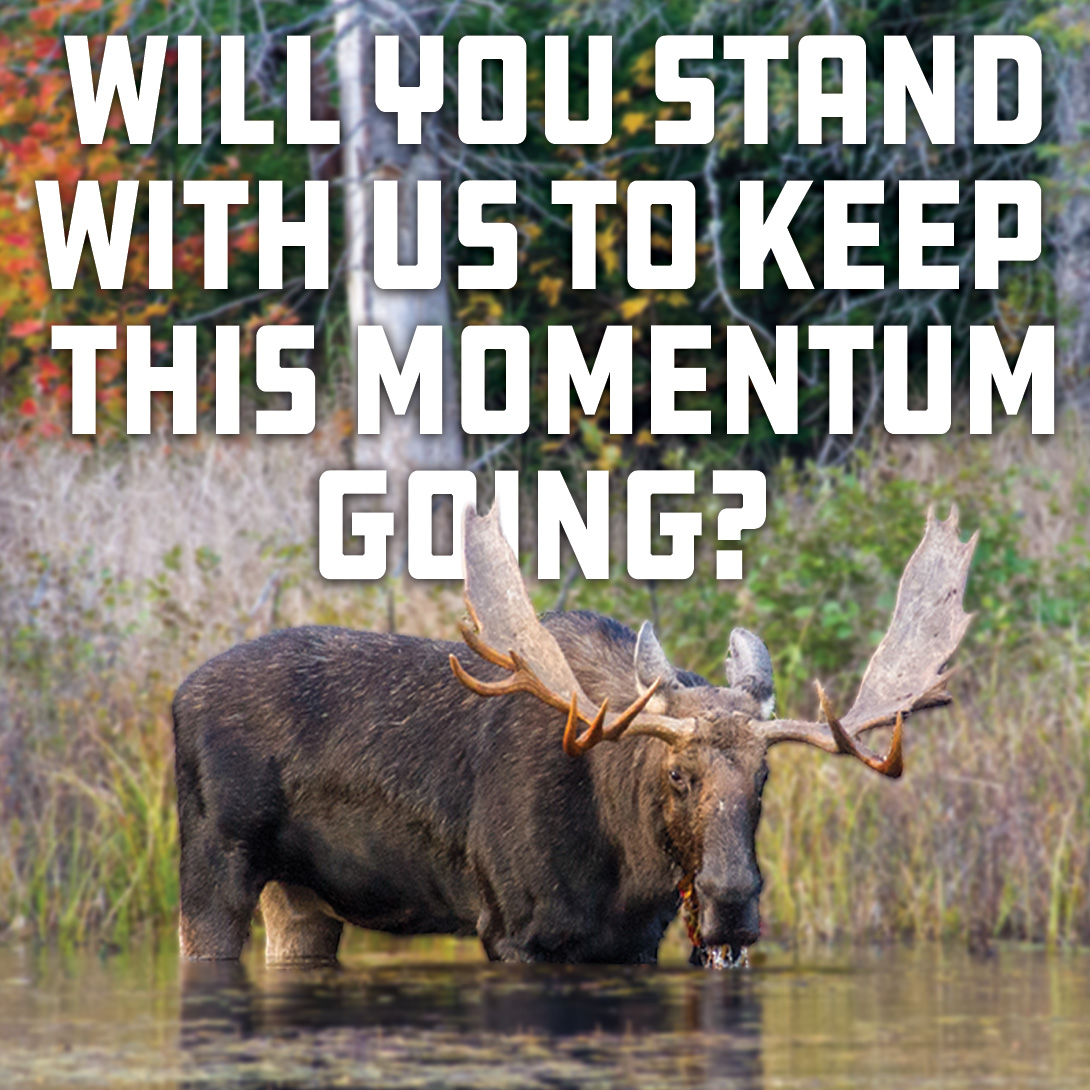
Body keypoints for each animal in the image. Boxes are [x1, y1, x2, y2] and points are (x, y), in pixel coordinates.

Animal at [172, 504, 976, 966]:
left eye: (764, 779)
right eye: (677, 774)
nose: (731, 901)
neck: (627, 866)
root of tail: (176, 697)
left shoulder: (634, 944)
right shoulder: (514, 930)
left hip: (301, 899)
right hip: (211, 869)